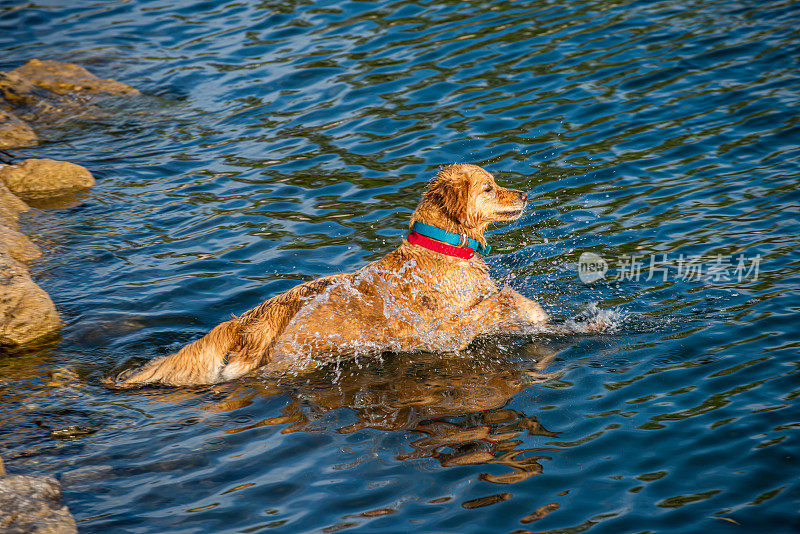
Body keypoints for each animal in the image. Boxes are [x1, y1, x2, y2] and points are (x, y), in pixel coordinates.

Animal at [115, 164, 548, 390]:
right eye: (489, 188)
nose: (524, 194)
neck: (441, 248)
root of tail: (246, 321)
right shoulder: (442, 335)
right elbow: (499, 300)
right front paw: (537, 315)